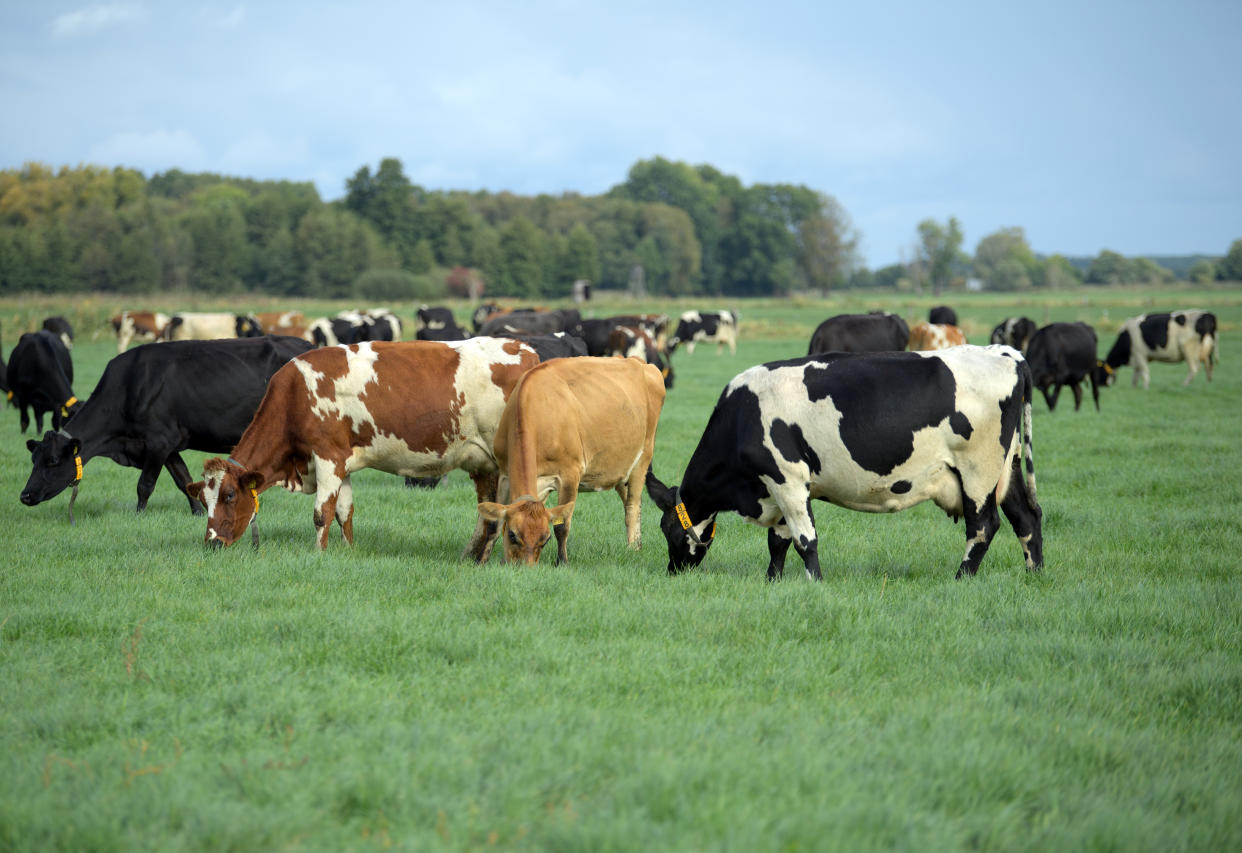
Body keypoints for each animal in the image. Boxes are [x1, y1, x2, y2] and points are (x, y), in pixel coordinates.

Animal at [20, 337, 315, 516]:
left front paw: (139, 515)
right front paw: (198, 512)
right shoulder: (169, 446)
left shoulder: (158, 441)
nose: (25, 495)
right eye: (33, 459)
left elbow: (145, 485)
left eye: (53, 461)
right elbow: (183, 480)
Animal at [187, 337, 539, 556]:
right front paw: (348, 551)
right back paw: (472, 556)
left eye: (229, 495)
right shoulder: (341, 462)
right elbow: (345, 512)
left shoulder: (327, 457)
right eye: (204, 499)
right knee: (488, 514)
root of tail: (523, 349)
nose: (212, 544)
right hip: (482, 463)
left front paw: (318, 554)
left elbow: (322, 513)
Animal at [476, 357, 670, 566]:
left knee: (632, 506)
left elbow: (562, 526)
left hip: (643, 459)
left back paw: (631, 548)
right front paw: (481, 561)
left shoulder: (569, 474)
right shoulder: (504, 473)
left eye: (545, 540)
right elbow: (493, 523)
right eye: (512, 535)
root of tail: (639, 361)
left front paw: (562, 562)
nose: (525, 568)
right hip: (620, 469)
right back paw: (638, 546)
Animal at [645, 345, 1043, 581]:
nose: (672, 571)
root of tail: (1008, 353)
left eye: (669, 530)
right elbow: (779, 541)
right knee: (1027, 517)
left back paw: (961, 578)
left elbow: (805, 539)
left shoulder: (787, 477)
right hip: (1007, 468)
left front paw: (815, 583)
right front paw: (773, 581)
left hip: (979, 471)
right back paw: (1034, 575)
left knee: (984, 526)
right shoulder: (779, 488)